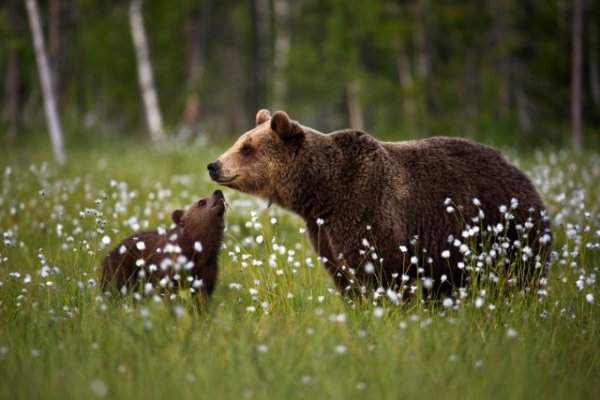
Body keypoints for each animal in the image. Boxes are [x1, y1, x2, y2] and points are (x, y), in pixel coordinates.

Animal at [209, 109, 552, 296]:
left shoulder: (367, 208)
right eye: (240, 142)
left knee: (520, 275)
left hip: (507, 231)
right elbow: (343, 275)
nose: (214, 165)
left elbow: (381, 268)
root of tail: (523, 174)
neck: (323, 193)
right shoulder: (324, 231)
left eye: (247, 148)